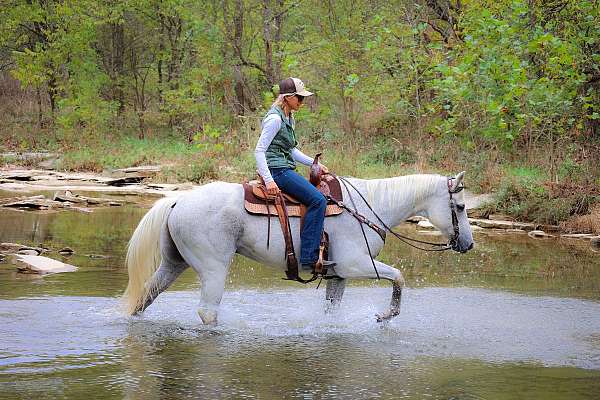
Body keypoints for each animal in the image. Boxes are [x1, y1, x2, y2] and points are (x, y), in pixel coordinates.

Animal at [125, 172, 474, 324]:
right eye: (459, 206)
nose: (468, 244)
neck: (371, 206)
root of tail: (178, 200)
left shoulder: (338, 275)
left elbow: (331, 311)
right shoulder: (356, 265)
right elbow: (399, 276)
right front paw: (386, 314)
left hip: (174, 263)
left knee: (144, 297)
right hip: (213, 269)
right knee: (207, 312)